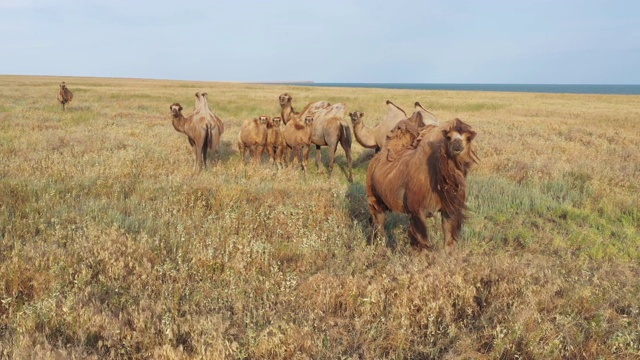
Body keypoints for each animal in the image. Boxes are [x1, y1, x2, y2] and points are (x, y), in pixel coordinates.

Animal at [368, 118, 478, 253]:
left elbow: (448, 240)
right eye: (448, 137)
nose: (457, 146)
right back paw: (381, 248)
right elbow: (423, 240)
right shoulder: (417, 210)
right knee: (379, 222)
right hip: (373, 198)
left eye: (468, 138)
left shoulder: (449, 209)